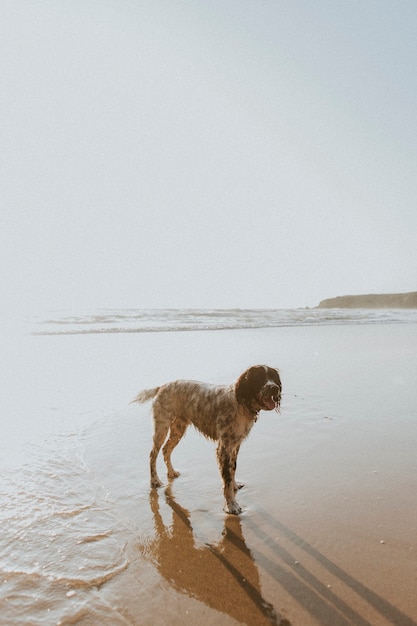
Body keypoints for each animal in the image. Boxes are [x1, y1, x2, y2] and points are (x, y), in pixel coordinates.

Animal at [132, 360, 282, 512]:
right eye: (260, 377)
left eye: (273, 377)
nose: (274, 388)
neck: (240, 403)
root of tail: (161, 387)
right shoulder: (224, 447)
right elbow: (227, 478)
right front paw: (231, 505)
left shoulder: (235, 445)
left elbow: (232, 469)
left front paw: (234, 487)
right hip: (161, 428)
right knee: (153, 454)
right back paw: (155, 481)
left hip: (178, 429)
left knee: (166, 449)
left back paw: (171, 472)